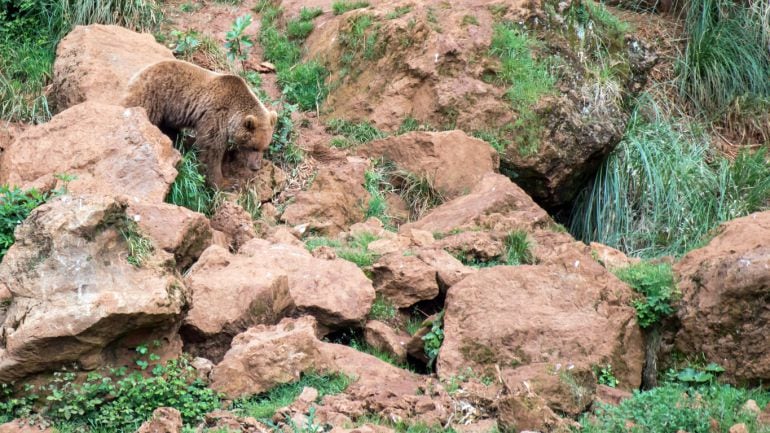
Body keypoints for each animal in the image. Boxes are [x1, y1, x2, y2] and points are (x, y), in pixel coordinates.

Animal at [124, 60, 280, 188]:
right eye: (253, 147)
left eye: (264, 147)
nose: (256, 167)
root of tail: (138, 75)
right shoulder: (216, 117)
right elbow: (211, 151)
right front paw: (226, 183)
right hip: (153, 98)